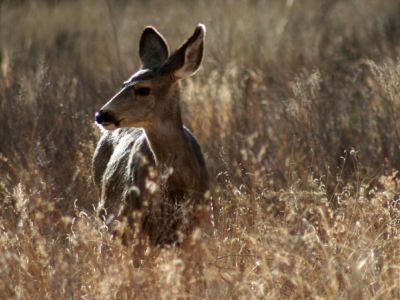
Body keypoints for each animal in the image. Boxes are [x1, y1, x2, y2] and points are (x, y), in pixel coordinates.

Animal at [92, 24, 208, 245]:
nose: (102, 114)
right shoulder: (133, 220)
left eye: (143, 89)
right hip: (106, 210)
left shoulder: (194, 226)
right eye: (123, 84)